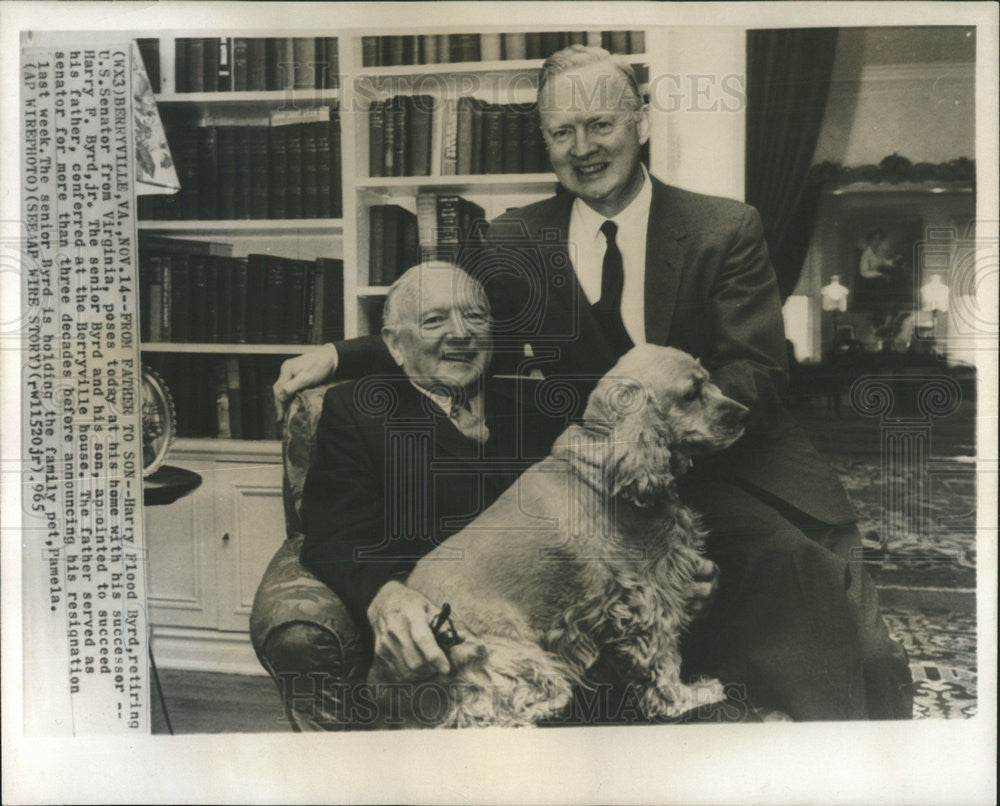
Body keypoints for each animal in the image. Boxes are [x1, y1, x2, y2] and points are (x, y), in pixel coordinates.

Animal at [372, 344, 748, 728]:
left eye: (709, 381)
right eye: (691, 394)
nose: (745, 413)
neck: (606, 453)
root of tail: (385, 685)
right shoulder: (646, 595)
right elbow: (662, 658)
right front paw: (687, 697)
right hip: (505, 653)